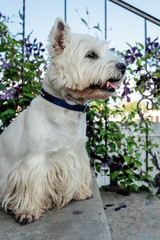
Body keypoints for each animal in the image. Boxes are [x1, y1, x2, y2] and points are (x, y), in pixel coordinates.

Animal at [0, 17, 125, 223]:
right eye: (91, 55)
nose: (123, 66)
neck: (67, 108)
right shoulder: (34, 160)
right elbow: (32, 186)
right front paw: (29, 211)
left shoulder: (76, 154)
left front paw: (81, 192)